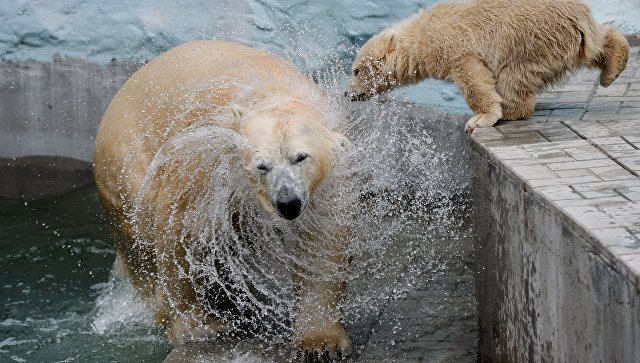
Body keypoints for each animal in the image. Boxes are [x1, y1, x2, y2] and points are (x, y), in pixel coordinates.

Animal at [94, 39, 352, 358]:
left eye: (301, 157)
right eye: (261, 165)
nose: (287, 203)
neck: (269, 92)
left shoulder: (327, 180)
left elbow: (321, 240)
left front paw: (321, 343)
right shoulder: (206, 156)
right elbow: (183, 228)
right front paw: (202, 327)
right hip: (126, 160)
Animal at [348, 0, 628, 133]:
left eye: (356, 70)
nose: (347, 94)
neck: (420, 37)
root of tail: (579, 16)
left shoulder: (456, 46)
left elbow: (473, 77)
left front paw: (479, 119)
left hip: (528, 37)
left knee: (514, 76)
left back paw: (510, 110)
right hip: (567, 39)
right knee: (596, 44)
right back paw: (614, 66)